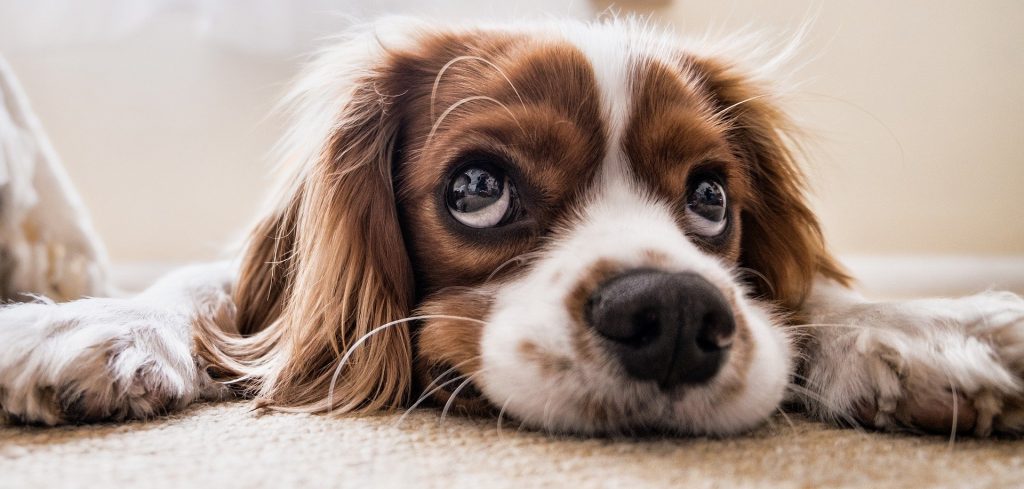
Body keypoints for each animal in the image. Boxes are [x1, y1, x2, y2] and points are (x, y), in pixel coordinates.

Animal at [2, 18, 1024, 435]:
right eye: (478, 187)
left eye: (711, 198)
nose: (674, 315)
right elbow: (209, 289)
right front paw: (92, 322)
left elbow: (810, 295)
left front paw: (925, 328)